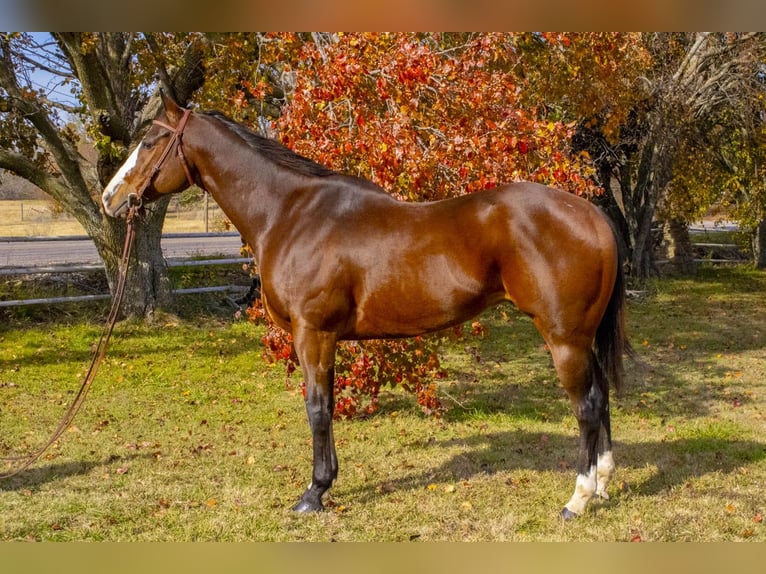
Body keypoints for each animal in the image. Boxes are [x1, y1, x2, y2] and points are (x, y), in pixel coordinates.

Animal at [102, 92, 630, 519]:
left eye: (151, 141)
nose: (111, 197)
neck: (291, 213)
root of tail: (591, 213)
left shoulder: (313, 333)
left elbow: (317, 408)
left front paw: (314, 493)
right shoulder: (325, 336)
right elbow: (328, 405)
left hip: (563, 338)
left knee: (586, 406)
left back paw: (578, 499)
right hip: (581, 338)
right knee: (601, 396)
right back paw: (604, 484)